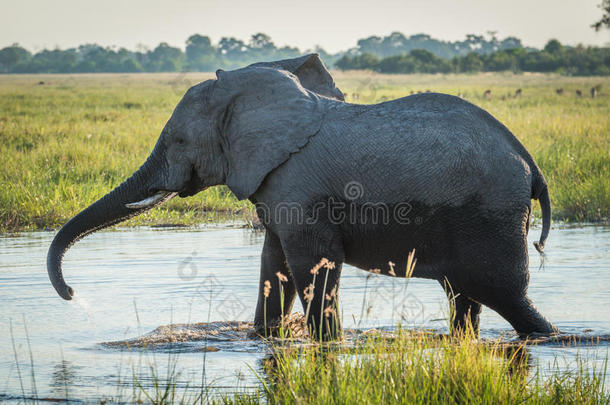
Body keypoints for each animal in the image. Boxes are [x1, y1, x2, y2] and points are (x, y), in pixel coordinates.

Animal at [48, 52, 556, 338]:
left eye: (176, 141)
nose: (72, 294)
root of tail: (531, 165)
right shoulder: (277, 188)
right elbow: (274, 265)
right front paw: (266, 337)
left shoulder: (299, 188)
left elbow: (312, 264)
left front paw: (325, 344)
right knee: (465, 297)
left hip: (491, 218)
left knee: (506, 296)